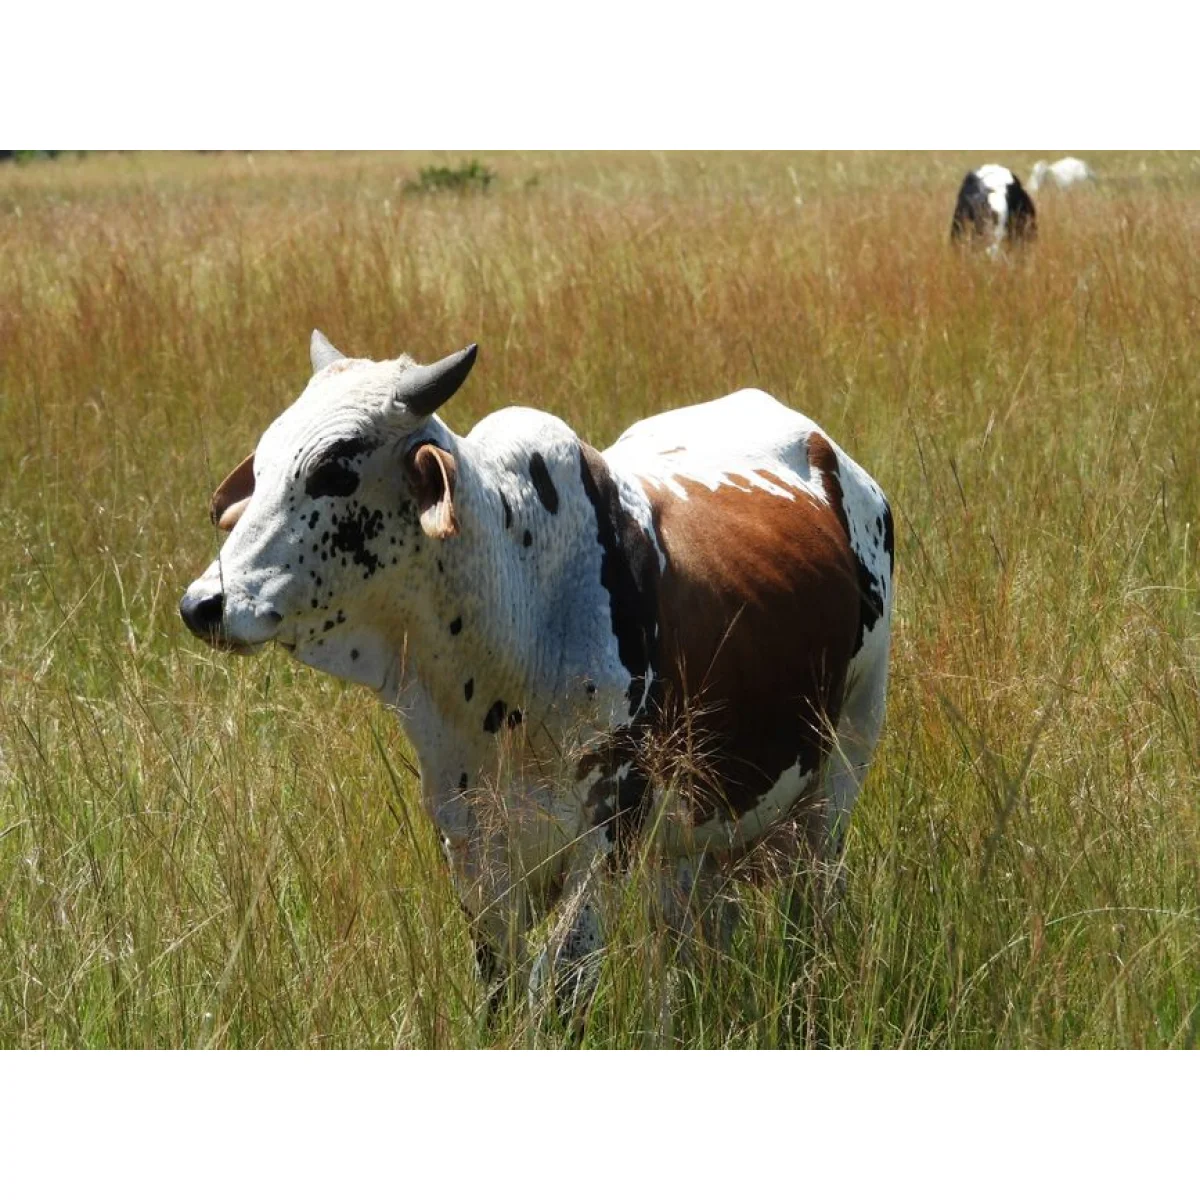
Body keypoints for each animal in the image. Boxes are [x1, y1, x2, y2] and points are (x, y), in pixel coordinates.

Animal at [179, 332, 895, 1016]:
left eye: (334, 469)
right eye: (263, 465)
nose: (202, 604)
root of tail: (831, 454)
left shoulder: (608, 830)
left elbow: (560, 987)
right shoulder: (469, 841)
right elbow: (498, 985)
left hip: (842, 765)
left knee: (815, 902)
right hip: (697, 838)